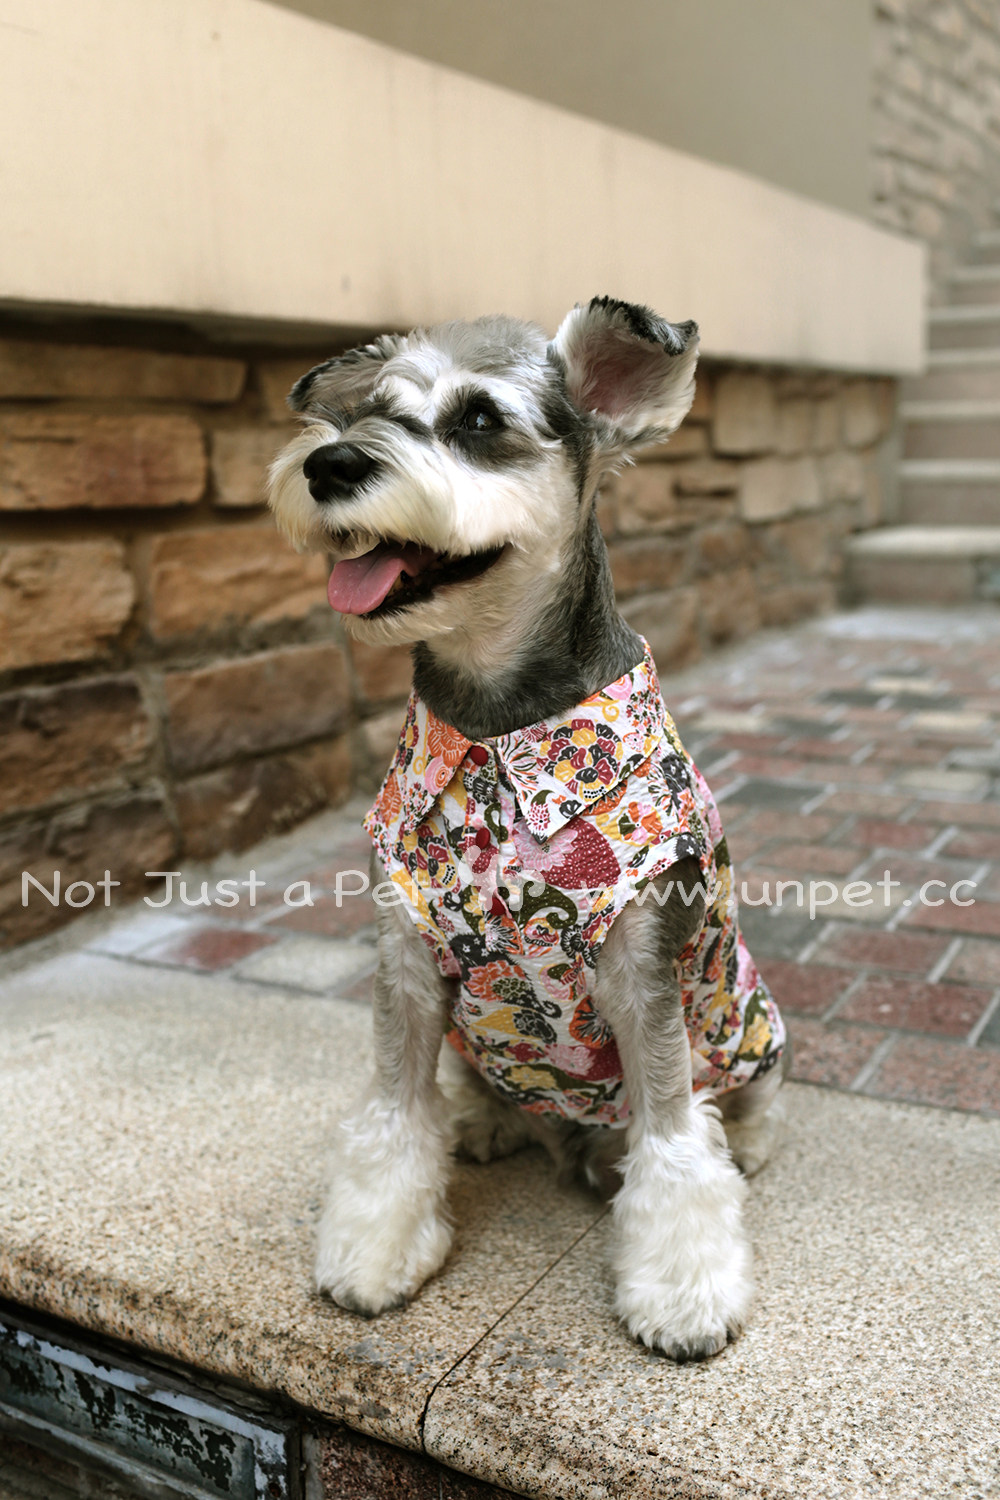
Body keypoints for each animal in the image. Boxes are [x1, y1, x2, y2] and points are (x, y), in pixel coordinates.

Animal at [268, 298, 788, 1362]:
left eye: (478, 419)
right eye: (366, 411)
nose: (330, 464)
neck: (494, 727)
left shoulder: (641, 972)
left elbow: (675, 1136)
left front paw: (684, 1293)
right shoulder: (406, 958)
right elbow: (395, 1113)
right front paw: (374, 1248)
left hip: (747, 1010)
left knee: (748, 1091)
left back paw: (748, 1139)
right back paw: (482, 1123)